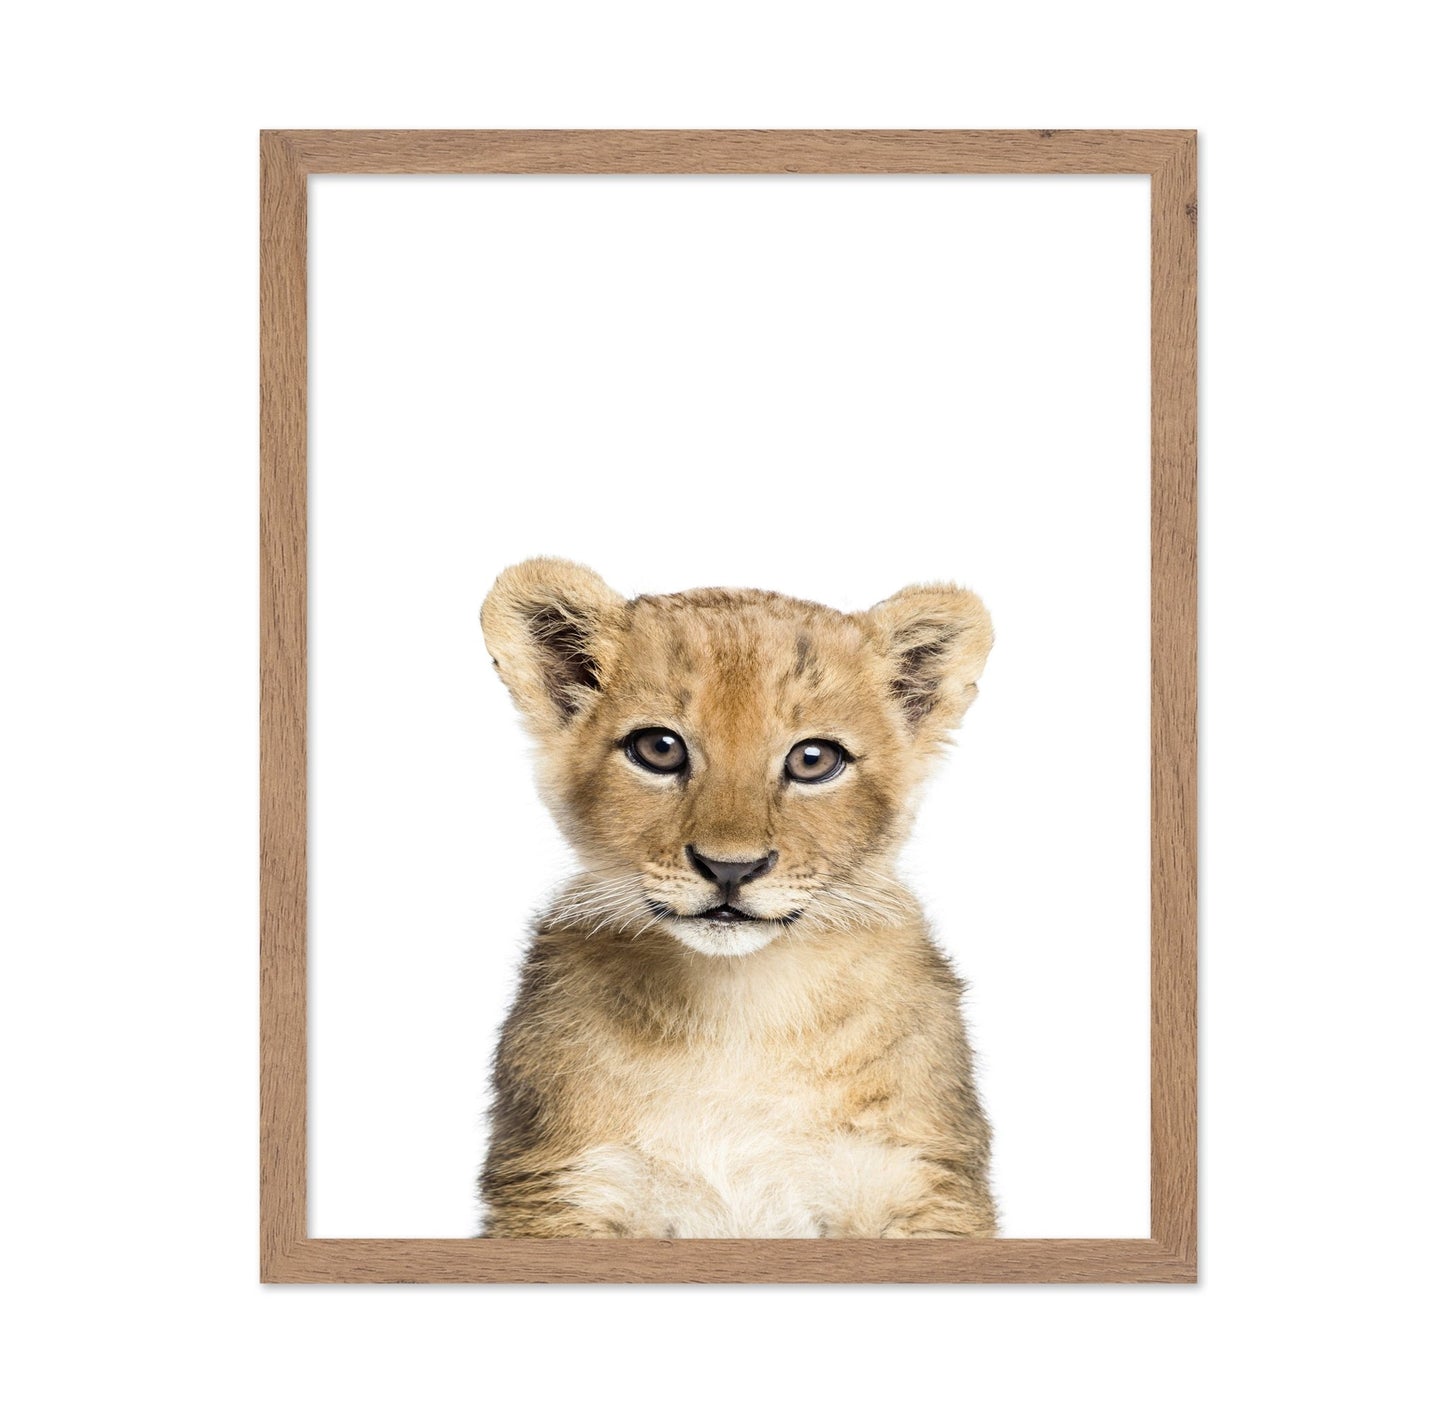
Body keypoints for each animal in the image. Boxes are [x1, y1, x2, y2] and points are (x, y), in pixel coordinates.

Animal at [477, 558, 998, 1238]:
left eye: (813, 759)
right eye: (659, 748)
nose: (731, 868)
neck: (738, 1010)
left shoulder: (917, 1181)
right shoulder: (565, 1187)